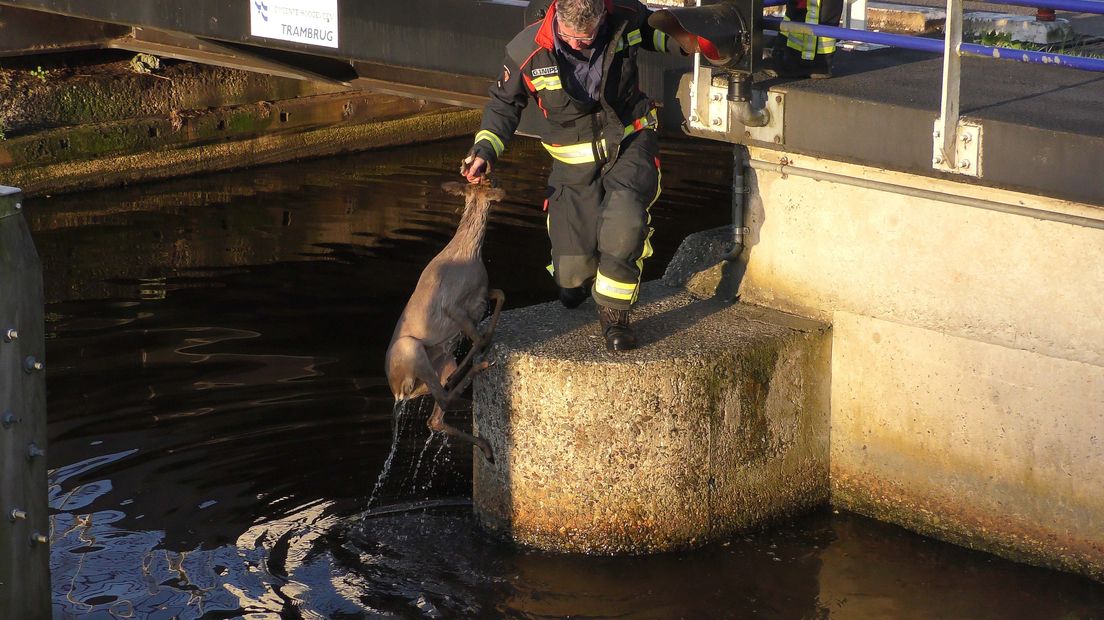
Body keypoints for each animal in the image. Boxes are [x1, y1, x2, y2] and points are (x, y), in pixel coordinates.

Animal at [386, 178, 505, 458]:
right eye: (490, 183)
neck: (469, 250)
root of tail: (396, 390)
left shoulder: (480, 296)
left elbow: (500, 295)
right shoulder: (454, 306)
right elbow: (479, 337)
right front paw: (484, 348)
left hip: (440, 363)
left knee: (435, 416)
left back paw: (486, 448)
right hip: (411, 349)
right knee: (443, 398)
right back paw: (477, 369)